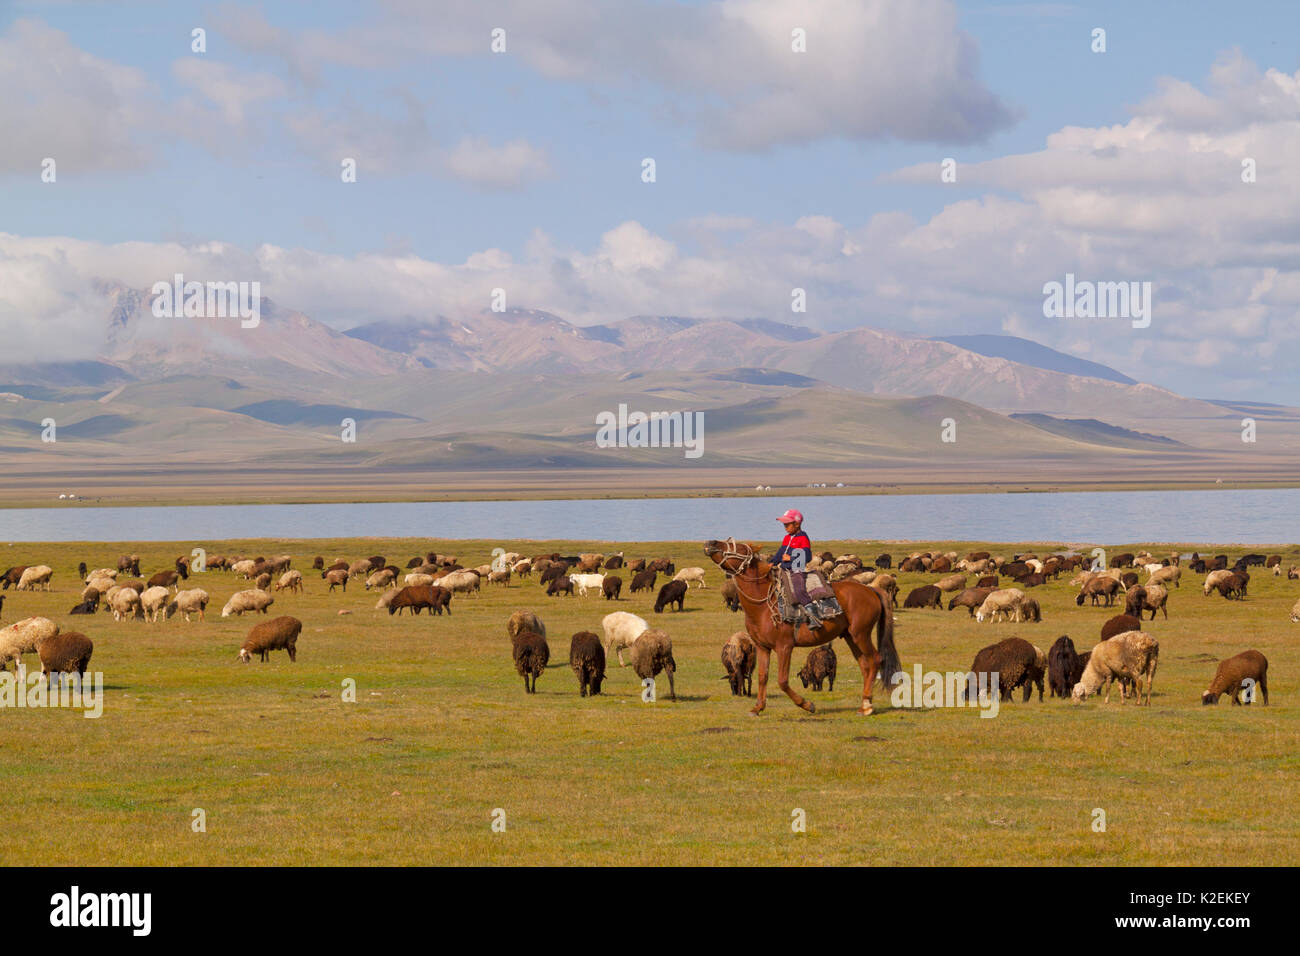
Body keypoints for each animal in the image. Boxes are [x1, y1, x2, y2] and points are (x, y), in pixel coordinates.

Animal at [707, 541, 899, 712]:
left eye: (738, 547)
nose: (711, 543)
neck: (763, 605)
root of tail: (871, 590)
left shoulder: (784, 647)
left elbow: (782, 681)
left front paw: (807, 705)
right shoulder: (762, 648)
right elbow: (763, 676)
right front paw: (758, 707)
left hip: (861, 635)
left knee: (875, 660)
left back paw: (867, 706)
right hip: (851, 637)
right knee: (865, 665)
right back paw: (864, 703)